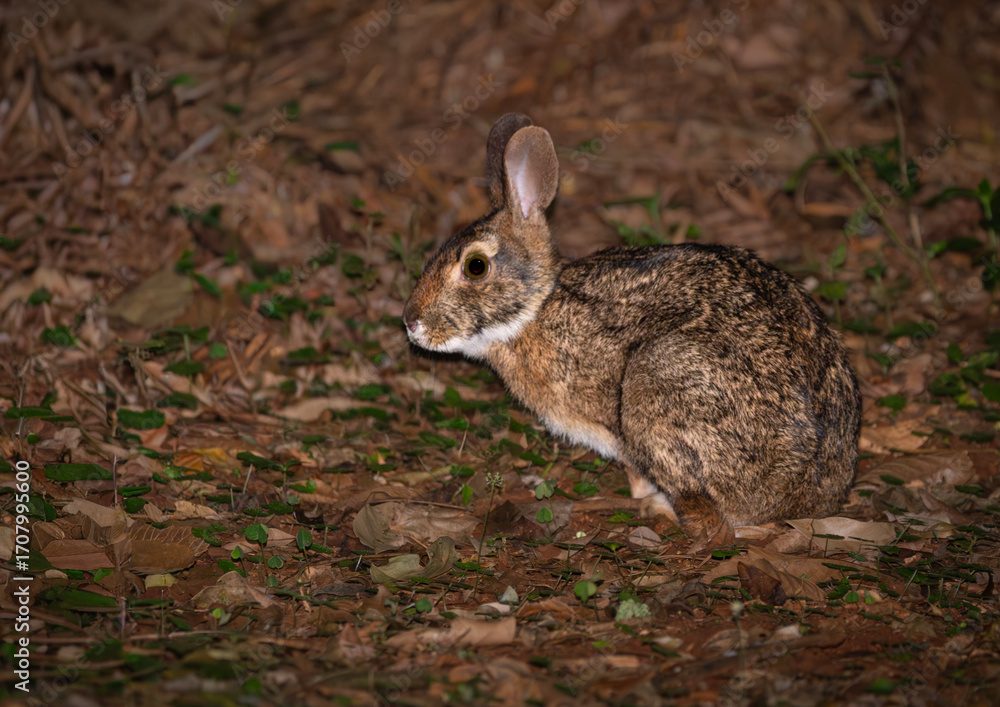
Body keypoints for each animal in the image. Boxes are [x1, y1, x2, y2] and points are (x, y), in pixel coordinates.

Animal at [403, 113, 861, 530]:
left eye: (476, 267)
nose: (411, 322)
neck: (537, 309)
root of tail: (803, 490)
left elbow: (635, 471)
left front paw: (642, 496)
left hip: (655, 383)